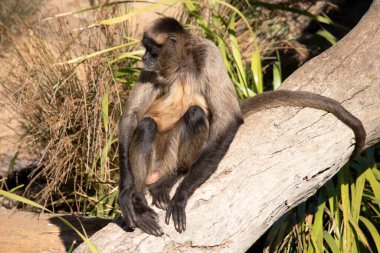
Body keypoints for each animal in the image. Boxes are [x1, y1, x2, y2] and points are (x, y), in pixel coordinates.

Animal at [118, 17, 366, 235]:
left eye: (151, 49)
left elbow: (228, 119)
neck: (179, 65)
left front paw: (181, 195)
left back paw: (173, 176)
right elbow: (131, 116)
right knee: (147, 125)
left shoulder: (209, 54)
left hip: (169, 158)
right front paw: (126, 193)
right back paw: (138, 199)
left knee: (195, 115)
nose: (143, 58)